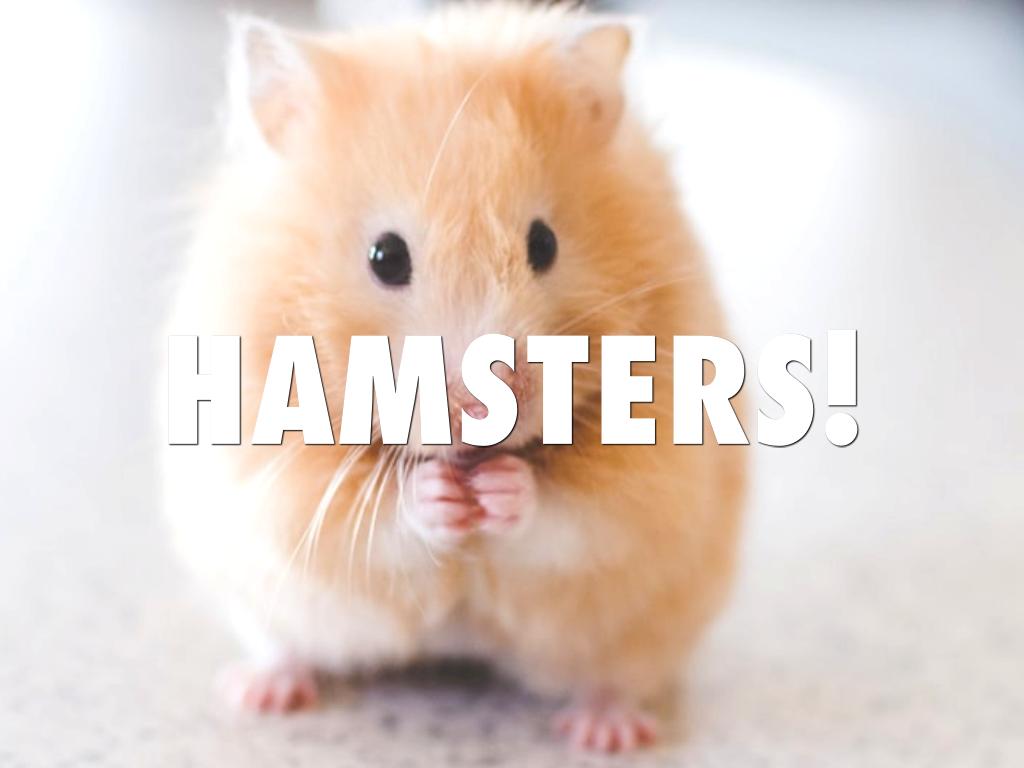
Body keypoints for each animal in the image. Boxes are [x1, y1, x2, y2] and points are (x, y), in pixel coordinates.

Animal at [163, 3, 746, 753]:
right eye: (385, 256)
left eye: (544, 244)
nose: (482, 411)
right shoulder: (270, 465)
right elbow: (366, 517)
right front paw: (439, 495)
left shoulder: (656, 469)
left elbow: (576, 514)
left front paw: (502, 489)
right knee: (285, 646)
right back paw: (257, 693)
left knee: (615, 676)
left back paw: (606, 734)